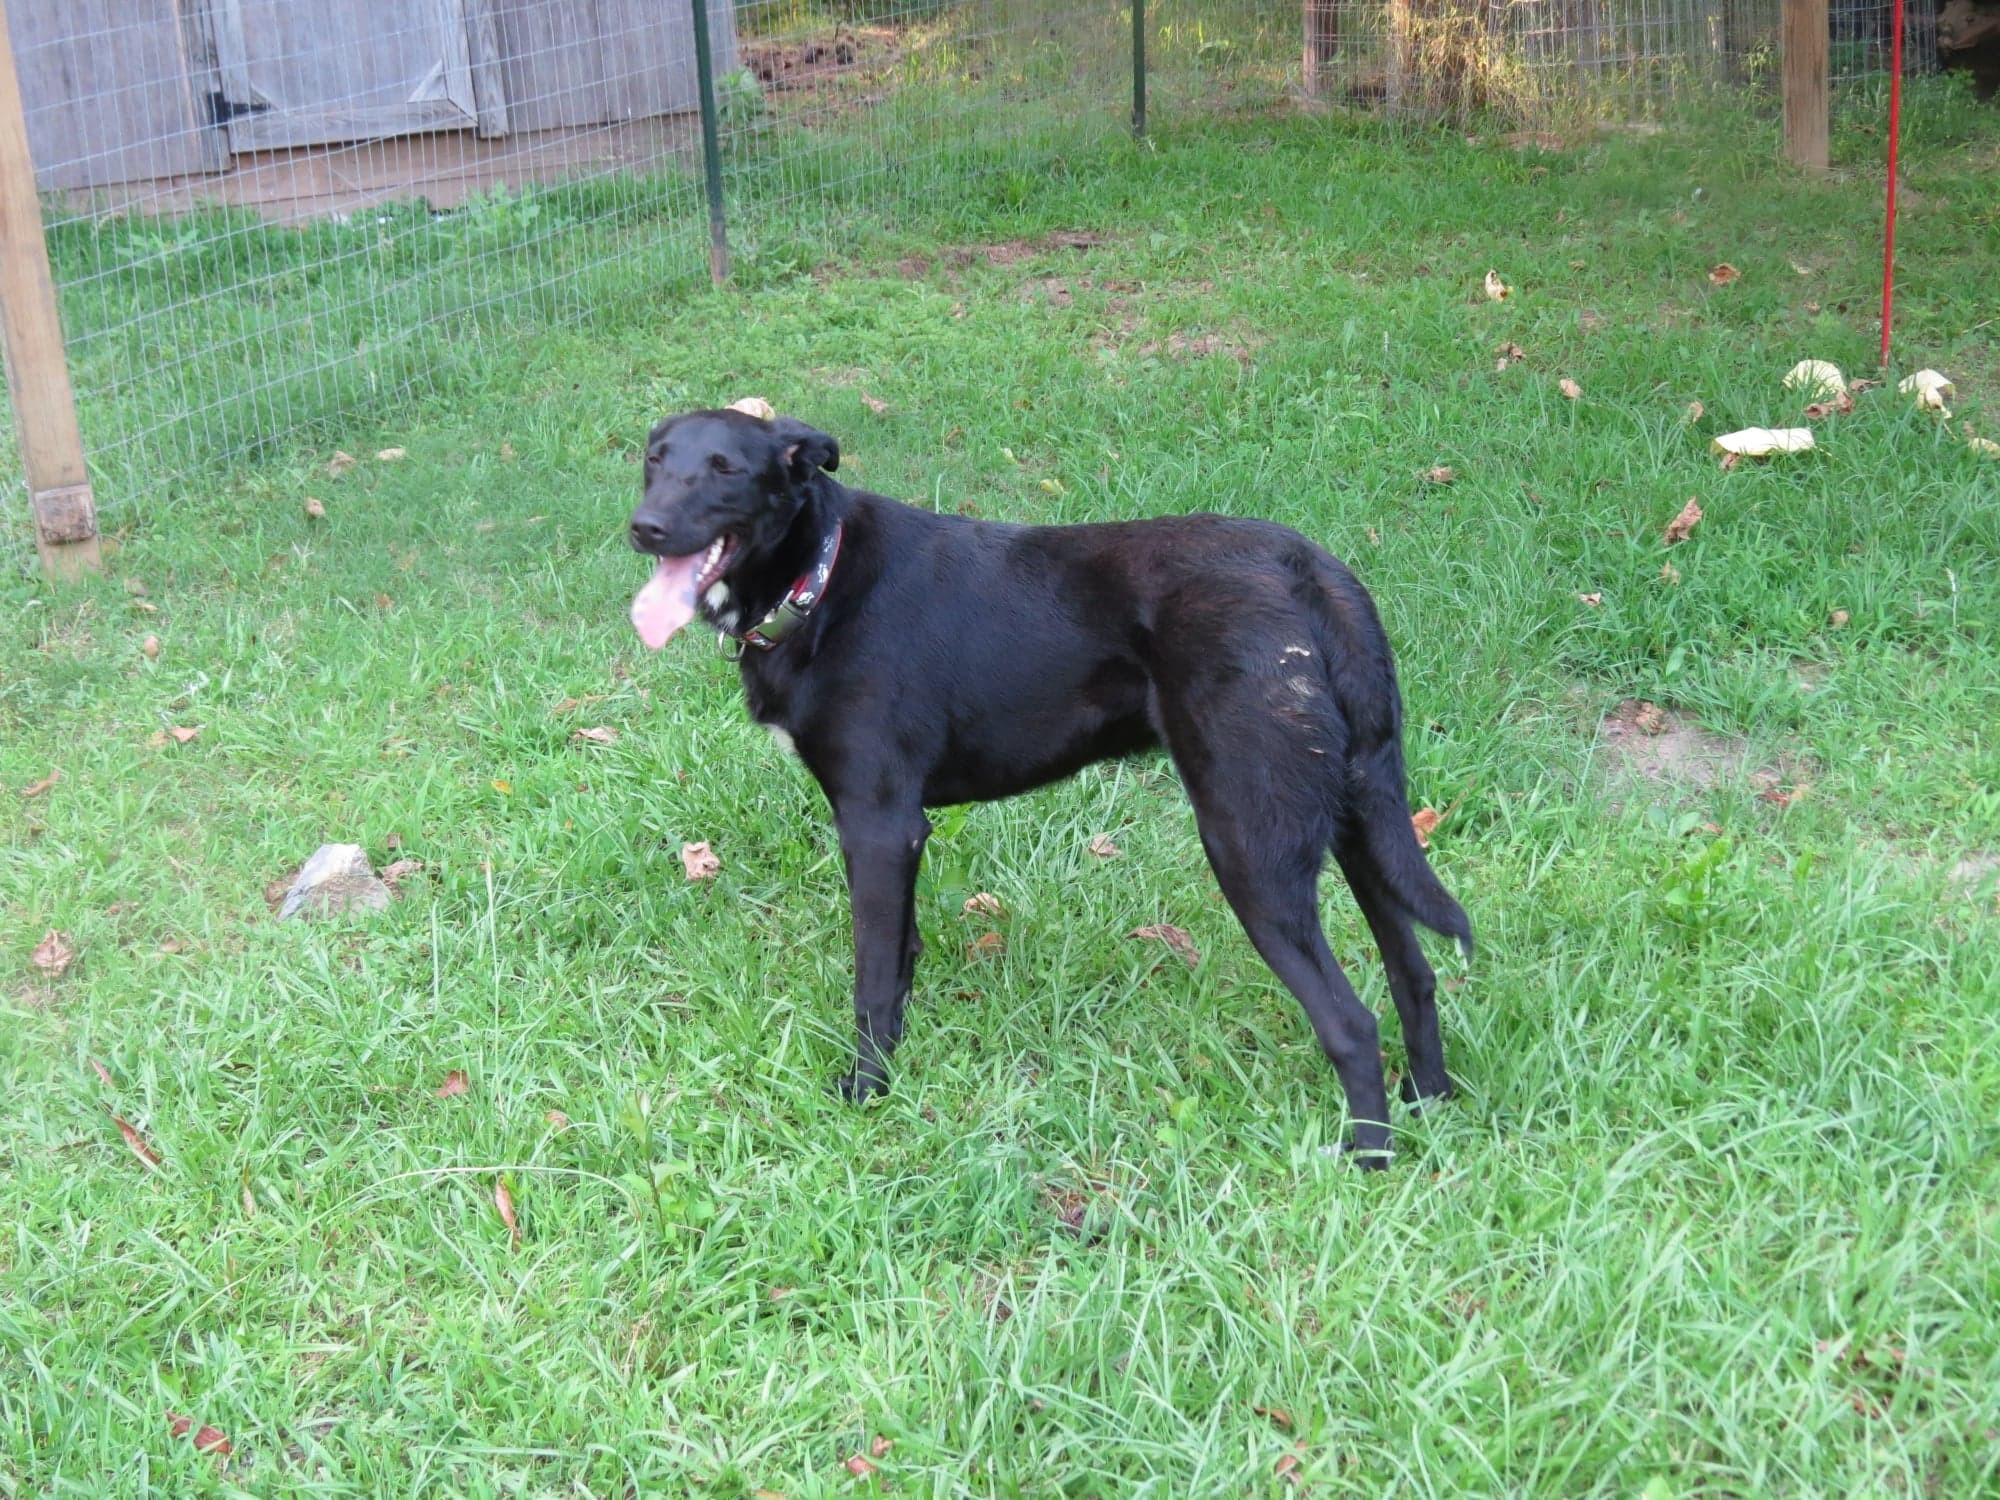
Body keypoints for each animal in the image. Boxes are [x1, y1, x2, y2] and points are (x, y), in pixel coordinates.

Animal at [628, 408, 1472, 1160]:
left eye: (726, 469)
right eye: (654, 460)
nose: (644, 528)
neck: (822, 578)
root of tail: (1313, 573)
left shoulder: (878, 824)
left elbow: (870, 977)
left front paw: (867, 1094)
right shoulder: (899, 838)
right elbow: (901, 960)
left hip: (1250, 846)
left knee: (1352, 1025)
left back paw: (1367, 1159)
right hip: (1360, 824)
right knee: (1416, 975)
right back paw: (1428, 1104)